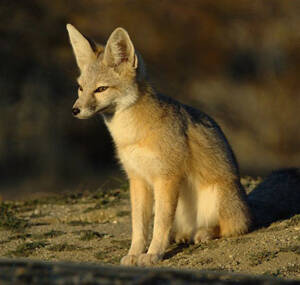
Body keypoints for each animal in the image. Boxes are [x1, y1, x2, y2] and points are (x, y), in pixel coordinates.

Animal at [67, 24, 252, 266]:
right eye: (80, 88)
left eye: (101, 89)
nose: (75, 110)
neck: (131, 136)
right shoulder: (137, 179)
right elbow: (139, 226)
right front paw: (135, 253)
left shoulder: (166, 177)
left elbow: (160, 224)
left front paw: (153, 254)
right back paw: (183, 235)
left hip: (217, 197)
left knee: (234, 227)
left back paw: (204, 233)